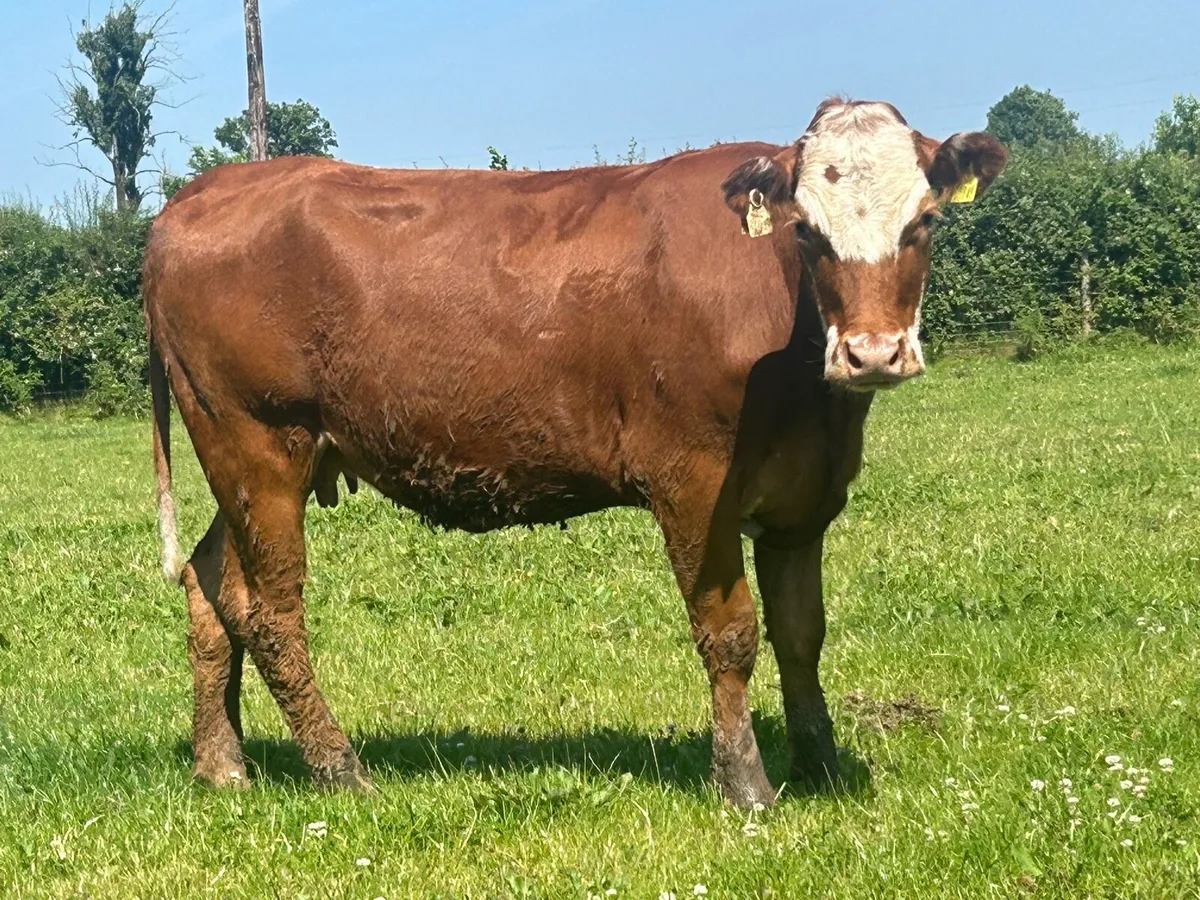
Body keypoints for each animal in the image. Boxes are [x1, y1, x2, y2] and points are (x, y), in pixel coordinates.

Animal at [143, 98, 1006, 808]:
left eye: (924, 223)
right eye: (808, 231)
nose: (872, 353)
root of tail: (202, 191)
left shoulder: (803, 498)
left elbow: (802, 634)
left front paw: (820, 766)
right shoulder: (693, 483)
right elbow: (730, 633)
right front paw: (745, 784)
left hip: (249, 463)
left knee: (212, 584)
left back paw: (221, 762)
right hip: (258, 443)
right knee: (270, 610)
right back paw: (338, 767)